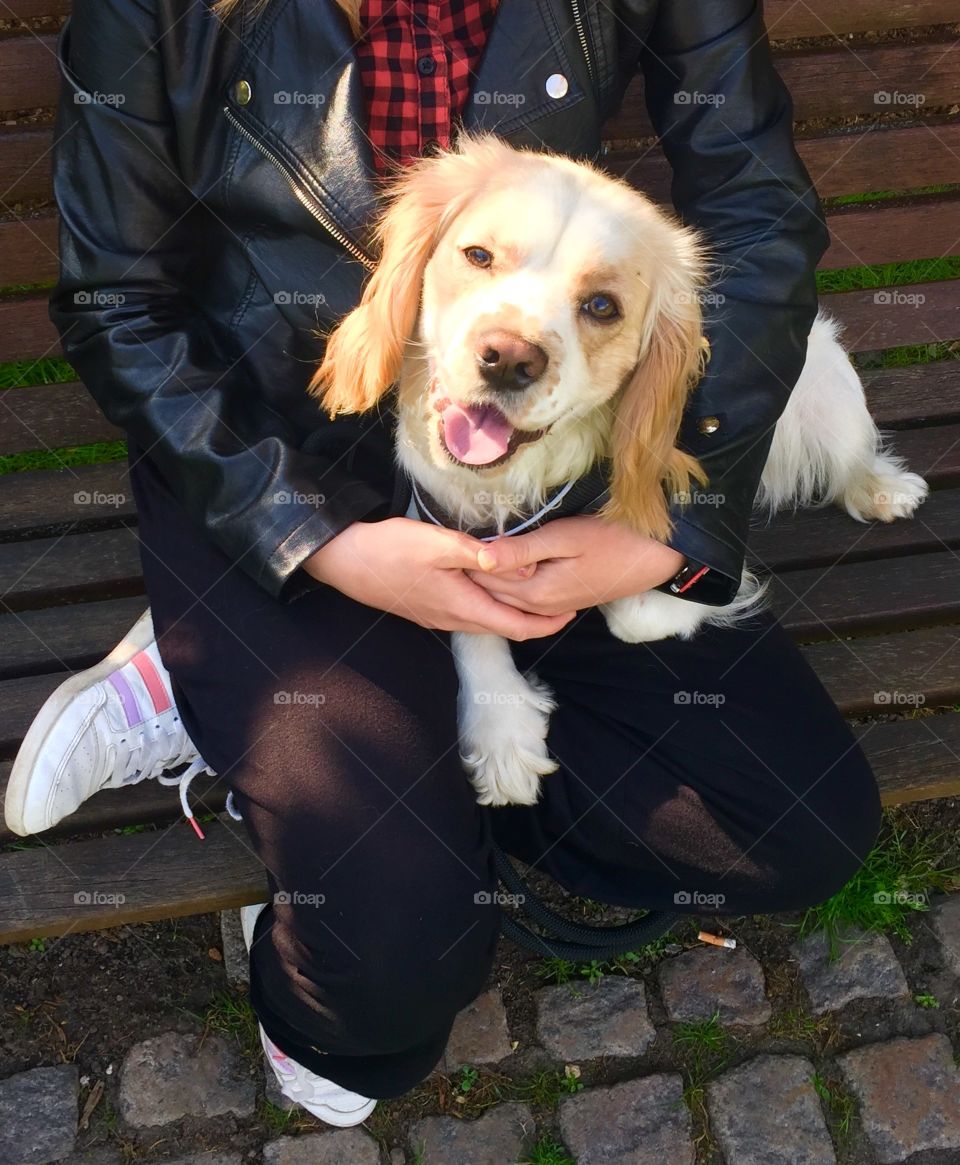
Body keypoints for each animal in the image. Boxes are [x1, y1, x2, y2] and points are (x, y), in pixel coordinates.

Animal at [307, 136, 922, 806]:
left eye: (602, 306)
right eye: (478, 256)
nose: (508, 359)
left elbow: (632, 612)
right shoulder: (442, 516)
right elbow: (467, 609)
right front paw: (502, 734)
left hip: (825, 383)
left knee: (852, 450)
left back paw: (883, 488)